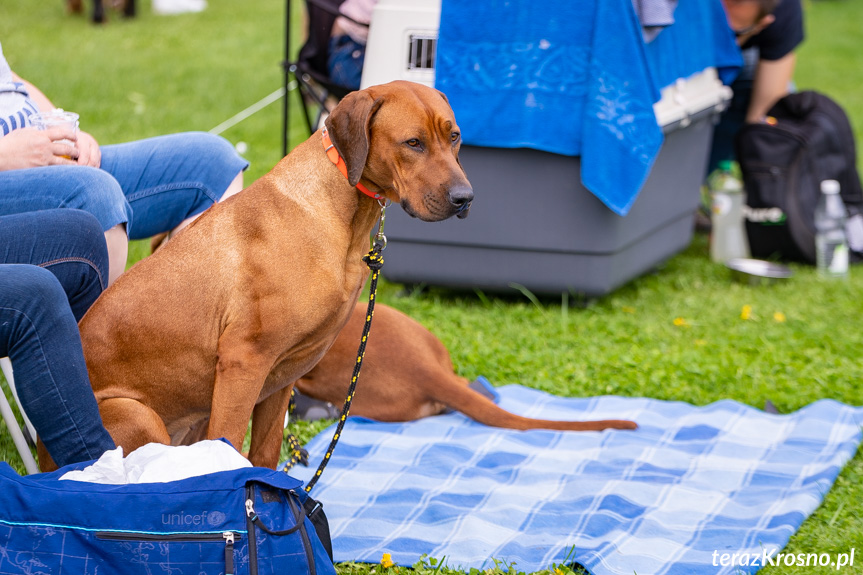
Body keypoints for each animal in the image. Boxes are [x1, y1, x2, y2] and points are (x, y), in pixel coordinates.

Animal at [61, 79, 476, 470]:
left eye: (454, 136)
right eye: (413, 142)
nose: (465, 198)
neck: (335, 212)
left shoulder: (283, 378)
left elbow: (263, 456)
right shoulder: (243, 363)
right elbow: (227, 452)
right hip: (139, 414)